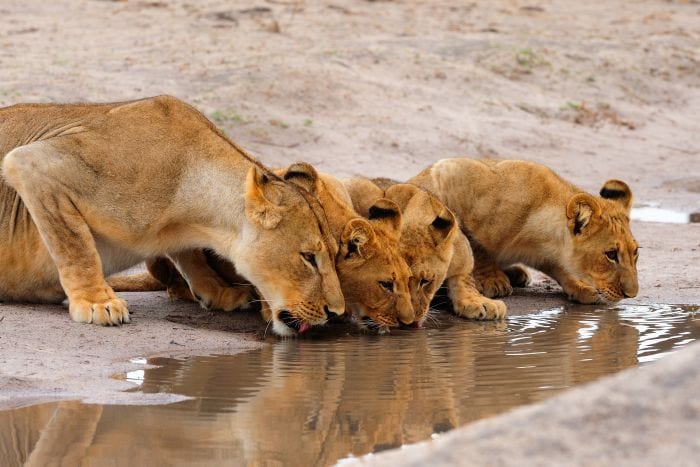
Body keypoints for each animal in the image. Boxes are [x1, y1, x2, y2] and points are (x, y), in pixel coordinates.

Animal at [0, 95, 344, 336]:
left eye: (335, 254)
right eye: (309, 258)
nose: (336, 312)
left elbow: (190, 254)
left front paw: (218, 292)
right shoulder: (34, 163)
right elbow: (74, 246)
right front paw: (97, 303)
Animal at [408, 158, 639, 304]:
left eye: (635, 253)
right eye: (611, 254)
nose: (632, 295)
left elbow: (560, 269)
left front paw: (580, 285)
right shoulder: (450, 174)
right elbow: (476, 246)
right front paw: (492, 279)